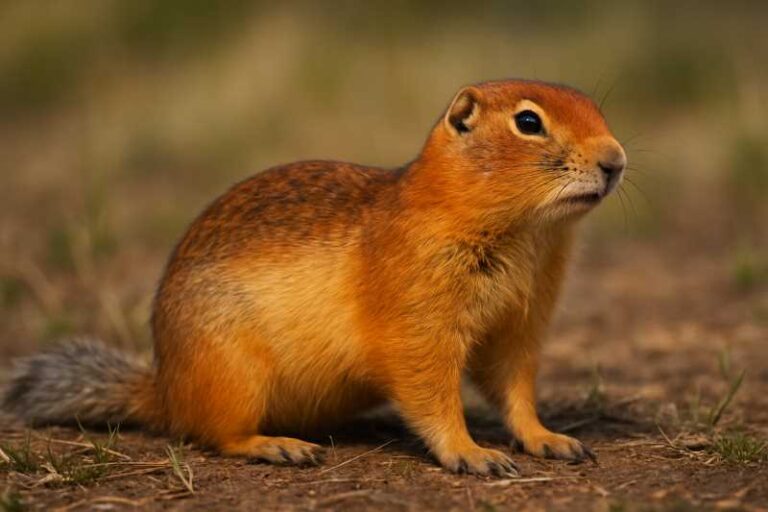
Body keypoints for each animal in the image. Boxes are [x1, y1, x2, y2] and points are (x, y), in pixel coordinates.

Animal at [3, 80, 626, 477]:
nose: (616, 161)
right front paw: (472, 454)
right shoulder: (419, 319)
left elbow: (514, 387)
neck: (526, 236)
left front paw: (551, 439)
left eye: (597, 110)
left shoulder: (520, 322)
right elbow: (430, 391)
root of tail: (164, 390)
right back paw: (280, 447)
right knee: (214, 433)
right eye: (529, 122)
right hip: (234, 374)